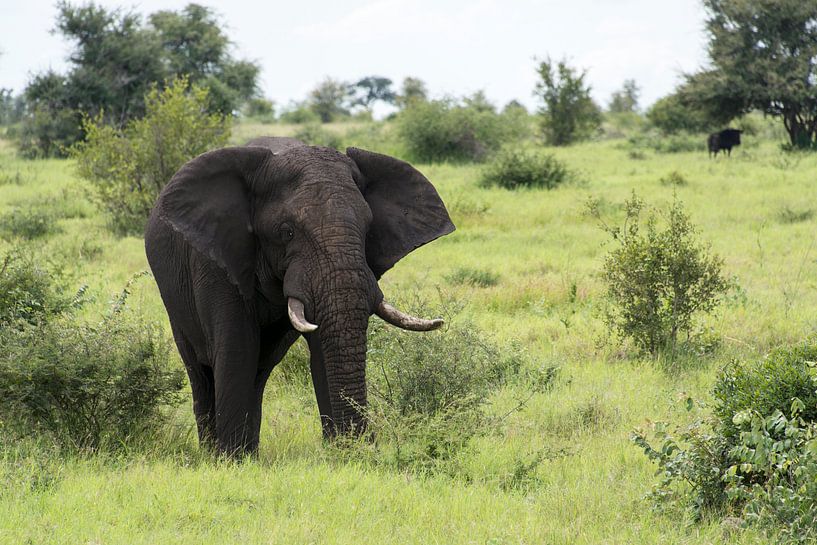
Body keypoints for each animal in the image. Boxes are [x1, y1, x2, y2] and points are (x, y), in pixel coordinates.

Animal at [144, 136, 455, 456]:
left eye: (368, 229)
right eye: (287, 232)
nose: (366, 445)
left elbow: (321, 349)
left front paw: (343, 455)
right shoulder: (219, 260)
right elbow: (237, 347)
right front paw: (230, 460)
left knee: (260, 370)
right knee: (201, 371)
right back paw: (215, 452)